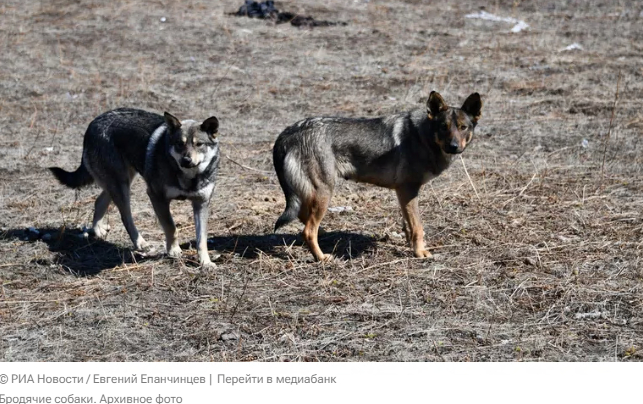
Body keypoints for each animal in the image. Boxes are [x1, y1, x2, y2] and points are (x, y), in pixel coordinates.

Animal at [49, 107, 221, 268]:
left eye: (199, 144)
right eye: (180, 144)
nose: (186, 160)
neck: (189, 178)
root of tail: (93, 123)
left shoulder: (201, 204)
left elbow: (201, 239)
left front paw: (206, 263)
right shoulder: (156, 197)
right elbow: (171, 227)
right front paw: (173, 251)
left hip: (120, 182)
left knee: (99, 201)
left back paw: (98, 230)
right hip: (122, 187)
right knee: (125, 217)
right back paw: (140, 243)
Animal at [272, 91, 484, 262]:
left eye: (463, 127)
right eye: (443, 127)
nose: (454, 147)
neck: (423, 137)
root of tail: (288, 132)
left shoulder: (403, 194)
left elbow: (408, 225)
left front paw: (410, 246)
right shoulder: (408, 190)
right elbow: (418, 227)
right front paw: (420, 253)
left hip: (313, 194)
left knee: (304, 220)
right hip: (324, 192)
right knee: (308, 230)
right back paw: (322, 257)